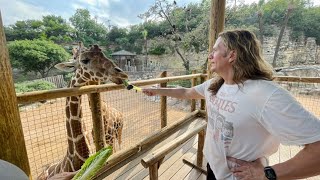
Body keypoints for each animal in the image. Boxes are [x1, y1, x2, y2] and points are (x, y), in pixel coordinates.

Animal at [37, 43, 127, 179]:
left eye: (103, 54)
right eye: (84, 60)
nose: (121, 74)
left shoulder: (109, 140)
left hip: (119, 131)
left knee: (120, 143)